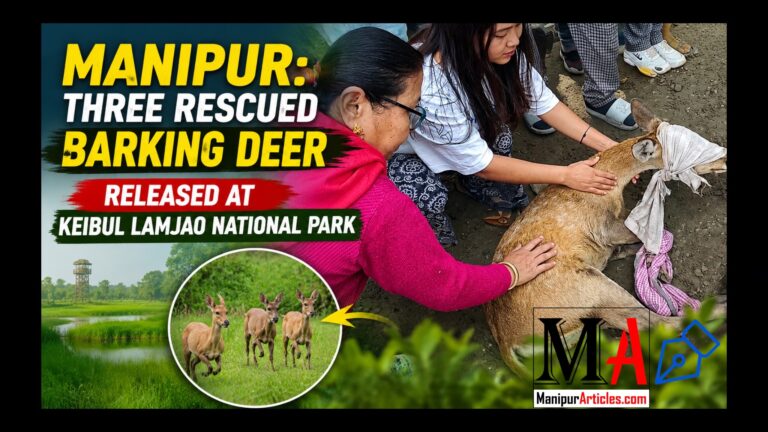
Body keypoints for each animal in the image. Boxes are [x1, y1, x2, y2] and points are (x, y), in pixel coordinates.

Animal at [483, 99, 727, 376]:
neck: (612, 182)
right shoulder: (606, 226)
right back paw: (717, 304)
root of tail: (508, 342)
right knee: (652, 322)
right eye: (695, 153)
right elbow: (651, 229)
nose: (725, 157)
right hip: (591, 290)